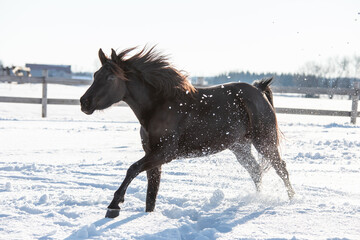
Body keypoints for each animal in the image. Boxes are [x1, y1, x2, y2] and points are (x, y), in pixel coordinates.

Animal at [80, 46, 294, 218]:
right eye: (95, 75)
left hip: (264, 142)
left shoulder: (164, 153)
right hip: (239, 147)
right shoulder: (153, 155)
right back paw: (258, 199)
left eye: (110, 77)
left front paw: (114, 206)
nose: (84, 102)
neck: (160, 106)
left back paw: (292, 201)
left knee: (281, 168)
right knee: (256, 171)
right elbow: (151, 194)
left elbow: (132, 169)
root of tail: (258, 90)